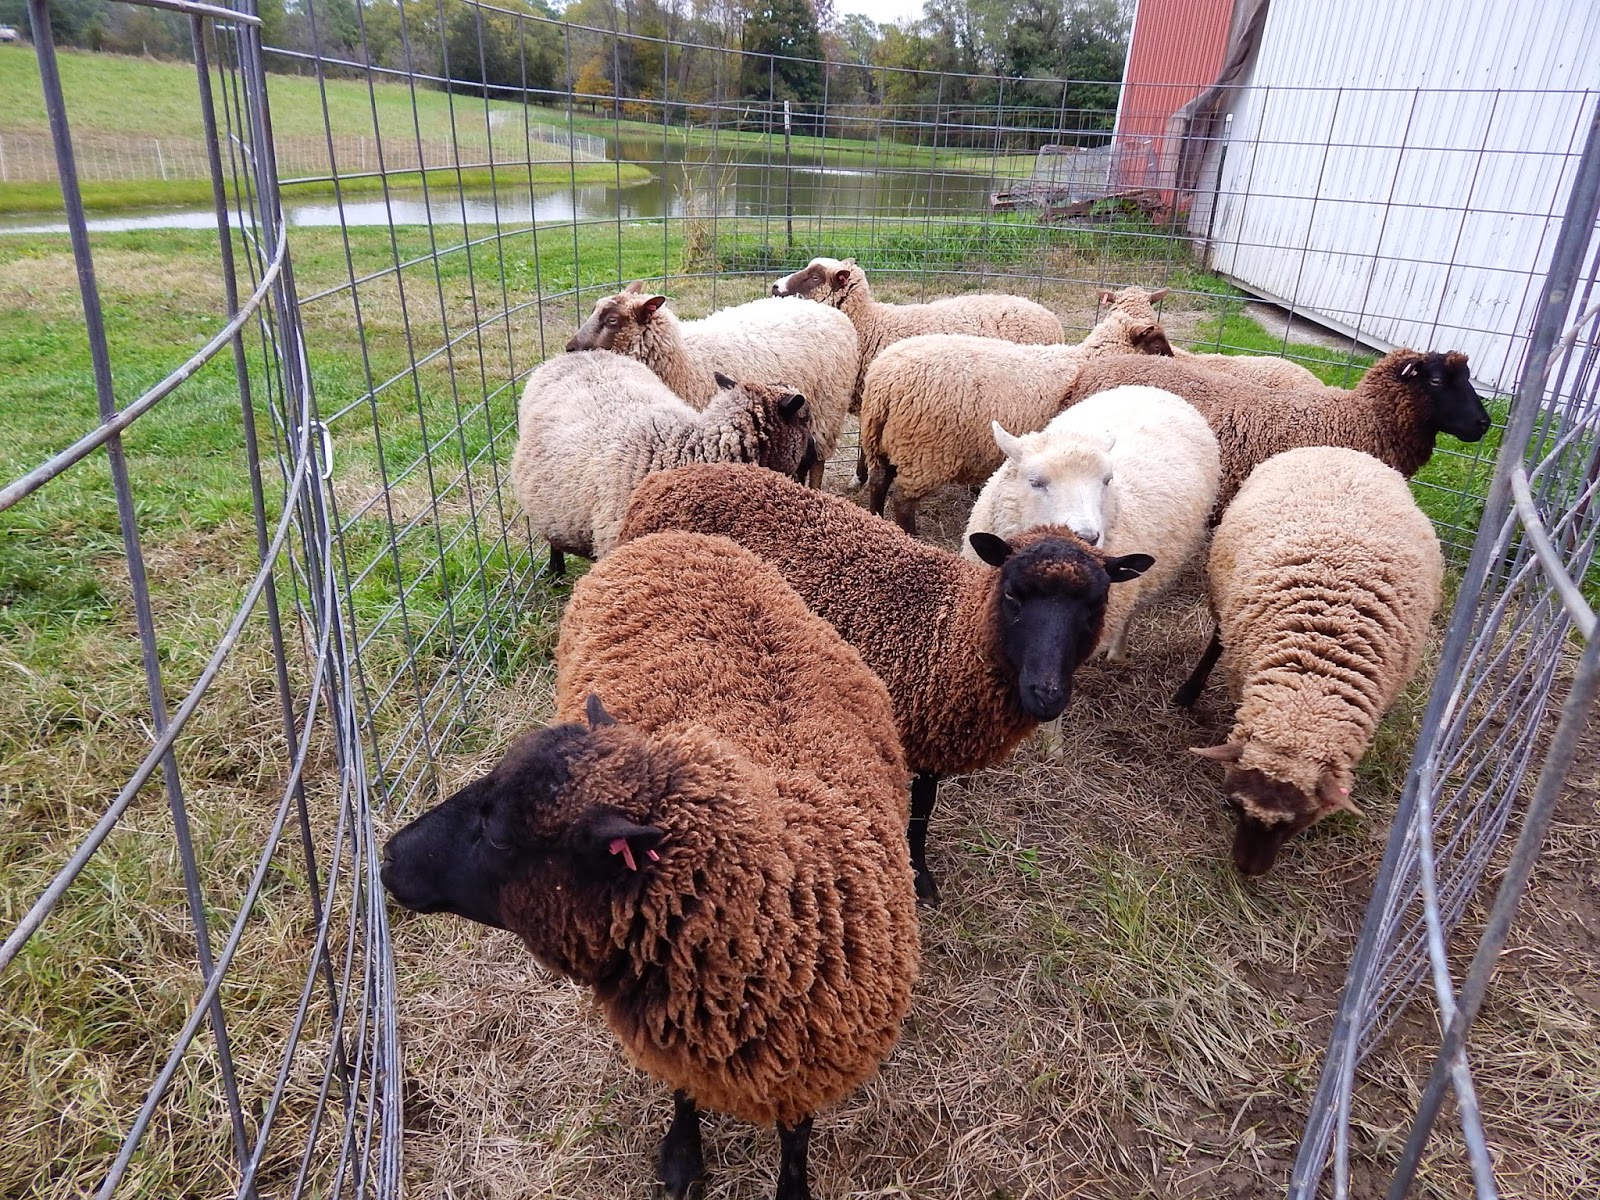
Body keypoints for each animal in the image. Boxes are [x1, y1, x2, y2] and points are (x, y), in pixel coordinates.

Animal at [381, 529, 918, 1200]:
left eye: (501, 837)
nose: (388, 856)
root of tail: (675, 535)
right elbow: (685, 1099)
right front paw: (682, 1158)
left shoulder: (811, 1058)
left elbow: (795, 1139)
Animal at [565, 284, 857, 487]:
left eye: (612, 320)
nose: (569, 348)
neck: (684, 359)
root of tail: (827, 309)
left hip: (827, 409)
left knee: (817, 460)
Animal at [618, 463, 1152, 902]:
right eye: (1013, 595)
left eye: (1096, 605)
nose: (1046, 693)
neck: (947, 631)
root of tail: (667, 478)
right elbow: (915, 811)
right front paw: (918, 877)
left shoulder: (932, 731)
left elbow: (925, 807)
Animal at [859, 296, 1175, 535]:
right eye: (1158, 347)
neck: (1084, 360)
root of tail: (883, 382)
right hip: (926, 450)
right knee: (903, 499)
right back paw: (910, 533)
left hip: (884, 441)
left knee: (878, 482)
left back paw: (876, 519)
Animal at [1172, 446, 1443, 875]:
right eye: (1235, 805)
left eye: (1297, 820)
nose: (1247, 870)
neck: (1309, 691)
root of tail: (1339, 451)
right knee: (1216, 639)